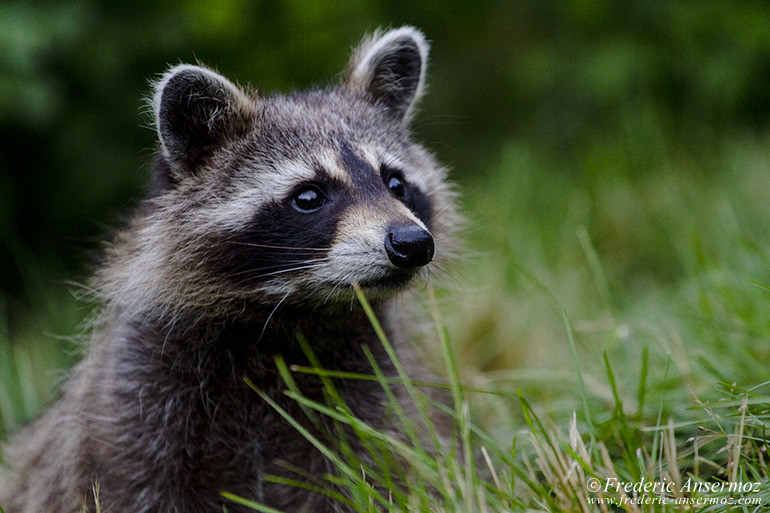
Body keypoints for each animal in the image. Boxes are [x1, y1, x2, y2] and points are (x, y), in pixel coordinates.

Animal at [0, 28, 456, 512]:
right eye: (309, 196)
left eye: (396, 184)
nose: (412, 243)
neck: (295, 314)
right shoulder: (134, 393)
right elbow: (131, 483)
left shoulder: (369, 386)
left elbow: (365, 472)